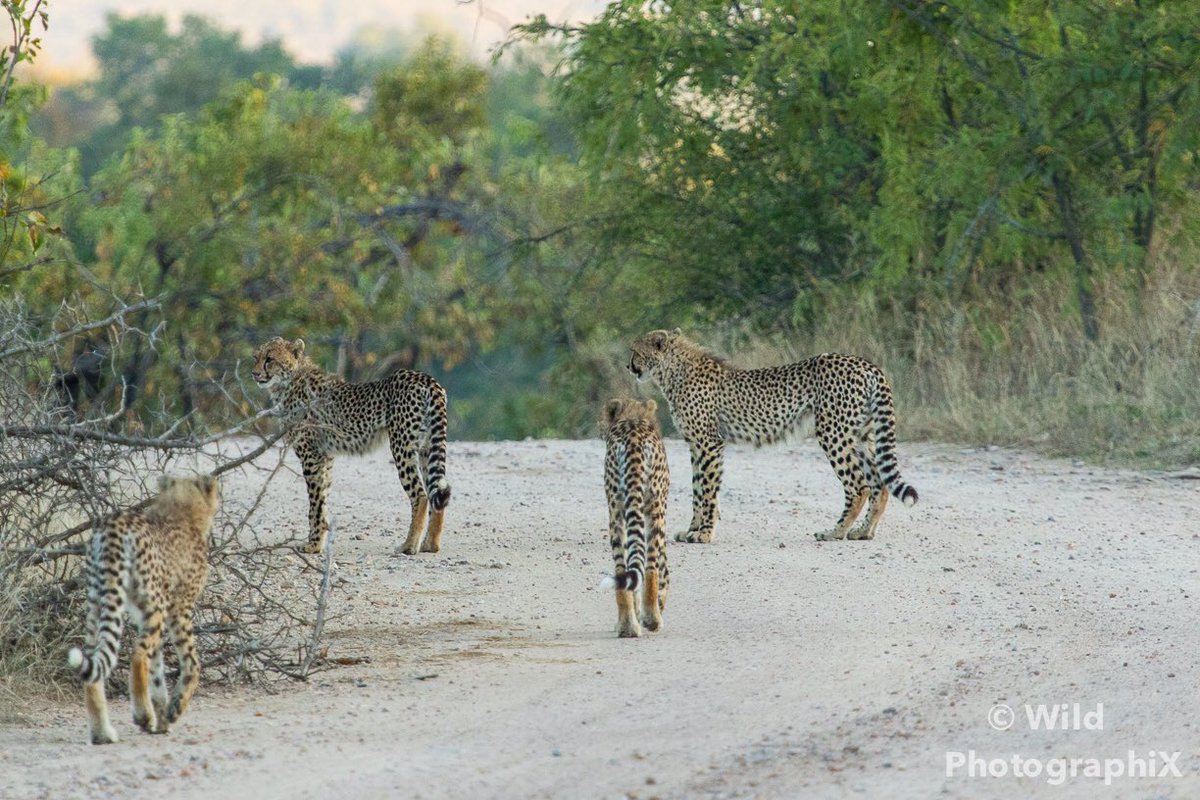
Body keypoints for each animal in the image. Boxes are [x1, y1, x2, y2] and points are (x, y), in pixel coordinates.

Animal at [67, 474, 220, 745]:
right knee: (138, 655)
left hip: (97, 603)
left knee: (94, 665)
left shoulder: (143, 616)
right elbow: (193, 664)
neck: (182, 511)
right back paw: (142, 714)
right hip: (154, 606)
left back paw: (102, 733)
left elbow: (157, 673)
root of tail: (112, 523)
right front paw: (174, 708)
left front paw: (162, 720)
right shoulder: (179, 610)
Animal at [252, 337, 450, 556]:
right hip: (427, 447)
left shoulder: (311, 456)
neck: (290, 381)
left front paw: (313, 545)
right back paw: (430, 545)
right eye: (256, 357)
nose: (255, 373)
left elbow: (315, 504)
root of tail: (425, 378)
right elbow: (323, 499)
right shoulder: (326, 457)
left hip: (402, 445)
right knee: (435, 493)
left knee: (421, 495)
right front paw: (319, 541)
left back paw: (409, 545)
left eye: (269, 359)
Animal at [600, 398, 670, 638]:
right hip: (654, 509)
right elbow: (662, 570)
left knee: (622, 570)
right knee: (650, 568)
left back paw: (627, 626)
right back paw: (652, 619)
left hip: (617, 512)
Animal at [628, 329, 918, 544]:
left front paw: (704, 533)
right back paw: (863, 532)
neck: (672, 371)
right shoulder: (695, 446)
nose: (629, 366)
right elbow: (698, 489)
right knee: (879, 483)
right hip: (860, 435)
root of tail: (865, 363)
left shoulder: (709, 443)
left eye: (635, 351)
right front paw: (692, 530)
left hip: (834, 434)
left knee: (860, 486)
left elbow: (707, 491)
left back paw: (835, 532)